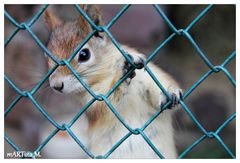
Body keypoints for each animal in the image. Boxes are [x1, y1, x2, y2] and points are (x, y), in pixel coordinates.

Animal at [43, 4, 182, 159]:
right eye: (47, 55)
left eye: (84, 55)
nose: (56, 85)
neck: (106, 74)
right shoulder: (90, 100)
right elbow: (104, 105)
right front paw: (123, 71)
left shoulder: (146, 75)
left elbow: (159, 84)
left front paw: (170, 92)